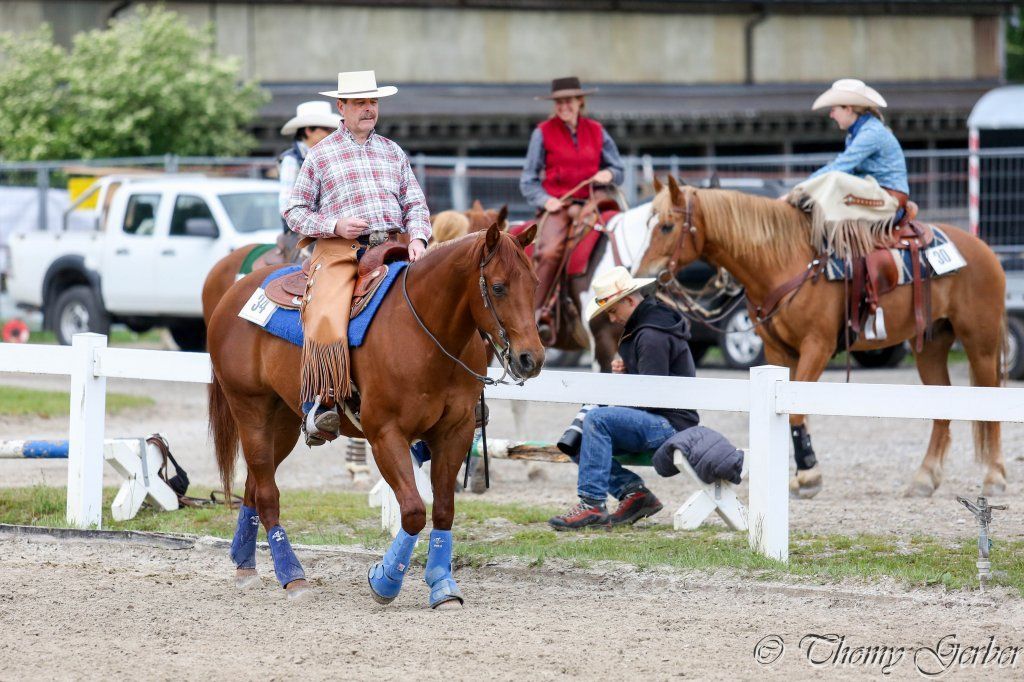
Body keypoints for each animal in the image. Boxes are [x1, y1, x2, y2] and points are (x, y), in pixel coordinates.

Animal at [206, 224, 543, 603]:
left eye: (535, 284)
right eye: (498, 287)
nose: (531, 358)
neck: (424, 332)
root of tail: (232, 293)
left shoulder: (455, 431)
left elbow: (443, 510)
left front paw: (442, 585)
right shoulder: (385, 434)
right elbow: (412, 512)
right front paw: (385, 580)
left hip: (283, 423)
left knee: (254, 484)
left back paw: (245, 565)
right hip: (251, 409)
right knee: (267, 494)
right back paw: (293, 577)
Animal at [636, 176, 1007, 498]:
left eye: (667, 226)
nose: (645, 275)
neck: (785, 260)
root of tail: (983, 248)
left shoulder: (818, 345)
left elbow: (798, 413)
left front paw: (809, 475)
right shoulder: (778, 351)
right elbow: (794, 412)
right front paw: (803, 474)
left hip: (981, 343)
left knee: (991, 401)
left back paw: (994, 479)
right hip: (930, 346)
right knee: (942, 409)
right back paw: (924, 480)